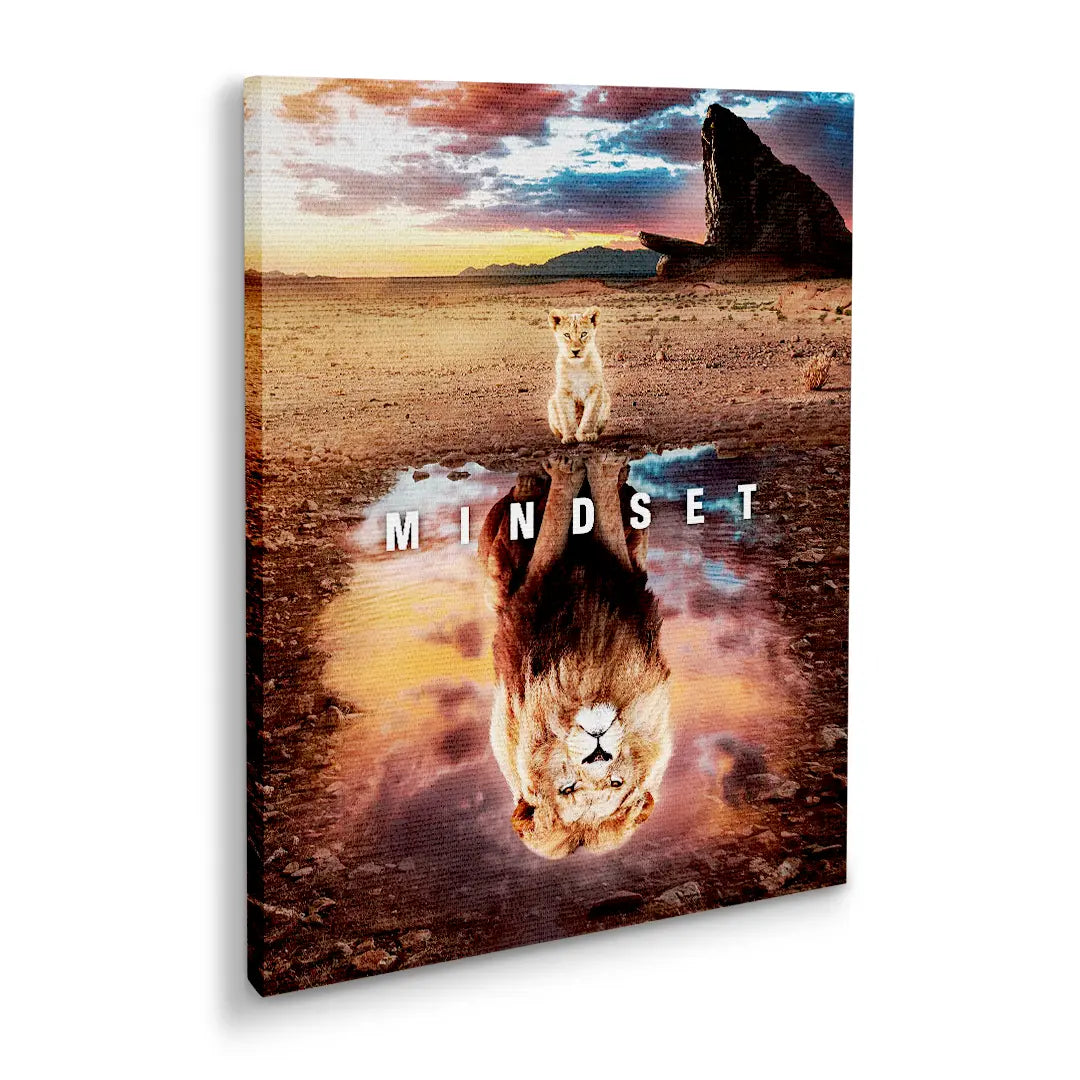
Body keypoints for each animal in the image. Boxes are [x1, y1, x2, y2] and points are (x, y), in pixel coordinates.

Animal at [478, 452, 672, 858]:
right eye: (567, 789)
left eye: (615, 783)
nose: (598, 749)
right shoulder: (535, 585)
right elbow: (557, 520)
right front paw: (572, 468)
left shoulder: (623, 573)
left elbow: (601, 516)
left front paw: (598, 467)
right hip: (497, 577)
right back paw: (532, 486)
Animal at [547, 308, 611, 444]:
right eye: (567, 335)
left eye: (583, 334)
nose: (575, 351)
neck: (577, 366)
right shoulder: (563, 391)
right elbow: (567, 417)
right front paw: (570, 437)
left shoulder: (595, 389)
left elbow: (590, 414)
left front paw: (586, 435)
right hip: (551, 401)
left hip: (607, 398)